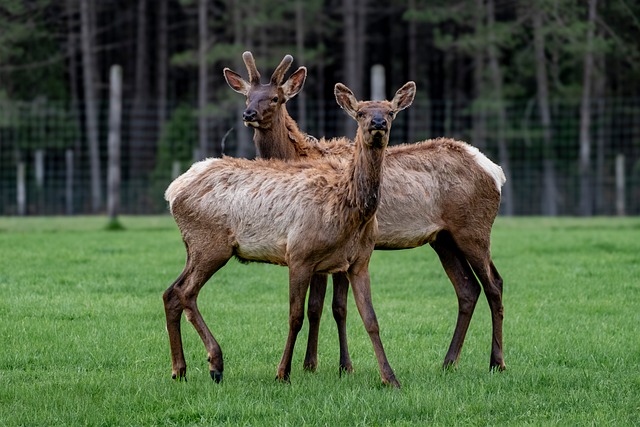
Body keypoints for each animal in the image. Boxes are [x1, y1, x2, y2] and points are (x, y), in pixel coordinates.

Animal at [162, 80, 416, 388]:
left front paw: (390, 378)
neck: (349, 210)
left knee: (171, 292)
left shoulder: (359, 262)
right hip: (210, 243)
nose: (378, 124)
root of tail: (173, 190)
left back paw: (179, 369)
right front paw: (283, 372)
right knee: (185, 292)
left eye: (390, 112)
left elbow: (371, 319)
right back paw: (215, 363)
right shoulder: (299, 254)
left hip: (195, 247)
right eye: (360, 113)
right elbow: (295, 317)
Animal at [224, 52, 507, 375]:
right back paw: (448, 361)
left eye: (275, 98)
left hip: (474, 228)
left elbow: (331, 306)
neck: (299, 157)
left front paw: (334, 365)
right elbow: (318, 307)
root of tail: (495, 171)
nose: (249, 114)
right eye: (247, 95)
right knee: (467, 288)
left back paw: (497, 362)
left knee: (494, 284)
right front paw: (314, 364)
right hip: (443, 238)